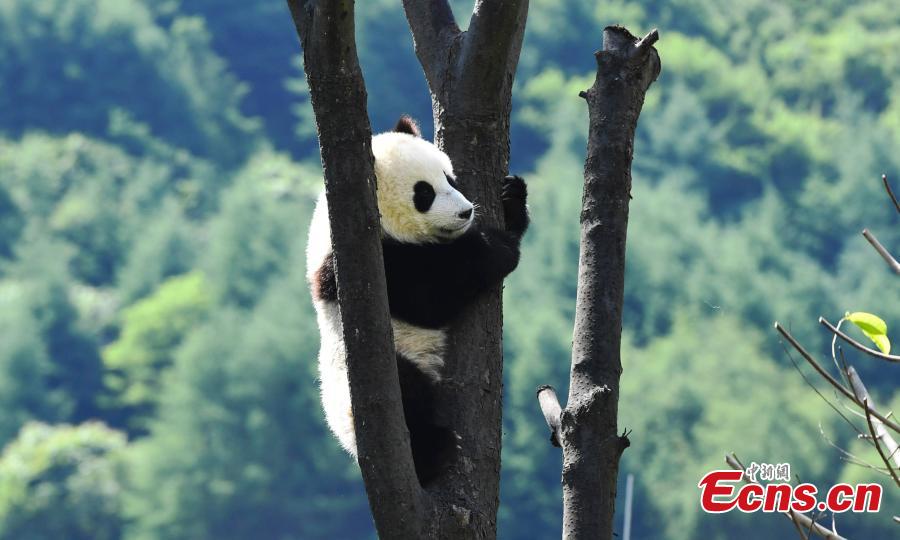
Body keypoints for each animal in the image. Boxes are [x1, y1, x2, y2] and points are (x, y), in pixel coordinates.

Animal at [310, 115, 528, 486]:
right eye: (423, 193)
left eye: (450, 178)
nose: (465, 212)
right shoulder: (362, 266)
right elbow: (430, 298)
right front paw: (497, 247)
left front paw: (512, 198)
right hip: (365, 375)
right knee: (407, 392)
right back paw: (433, 451)